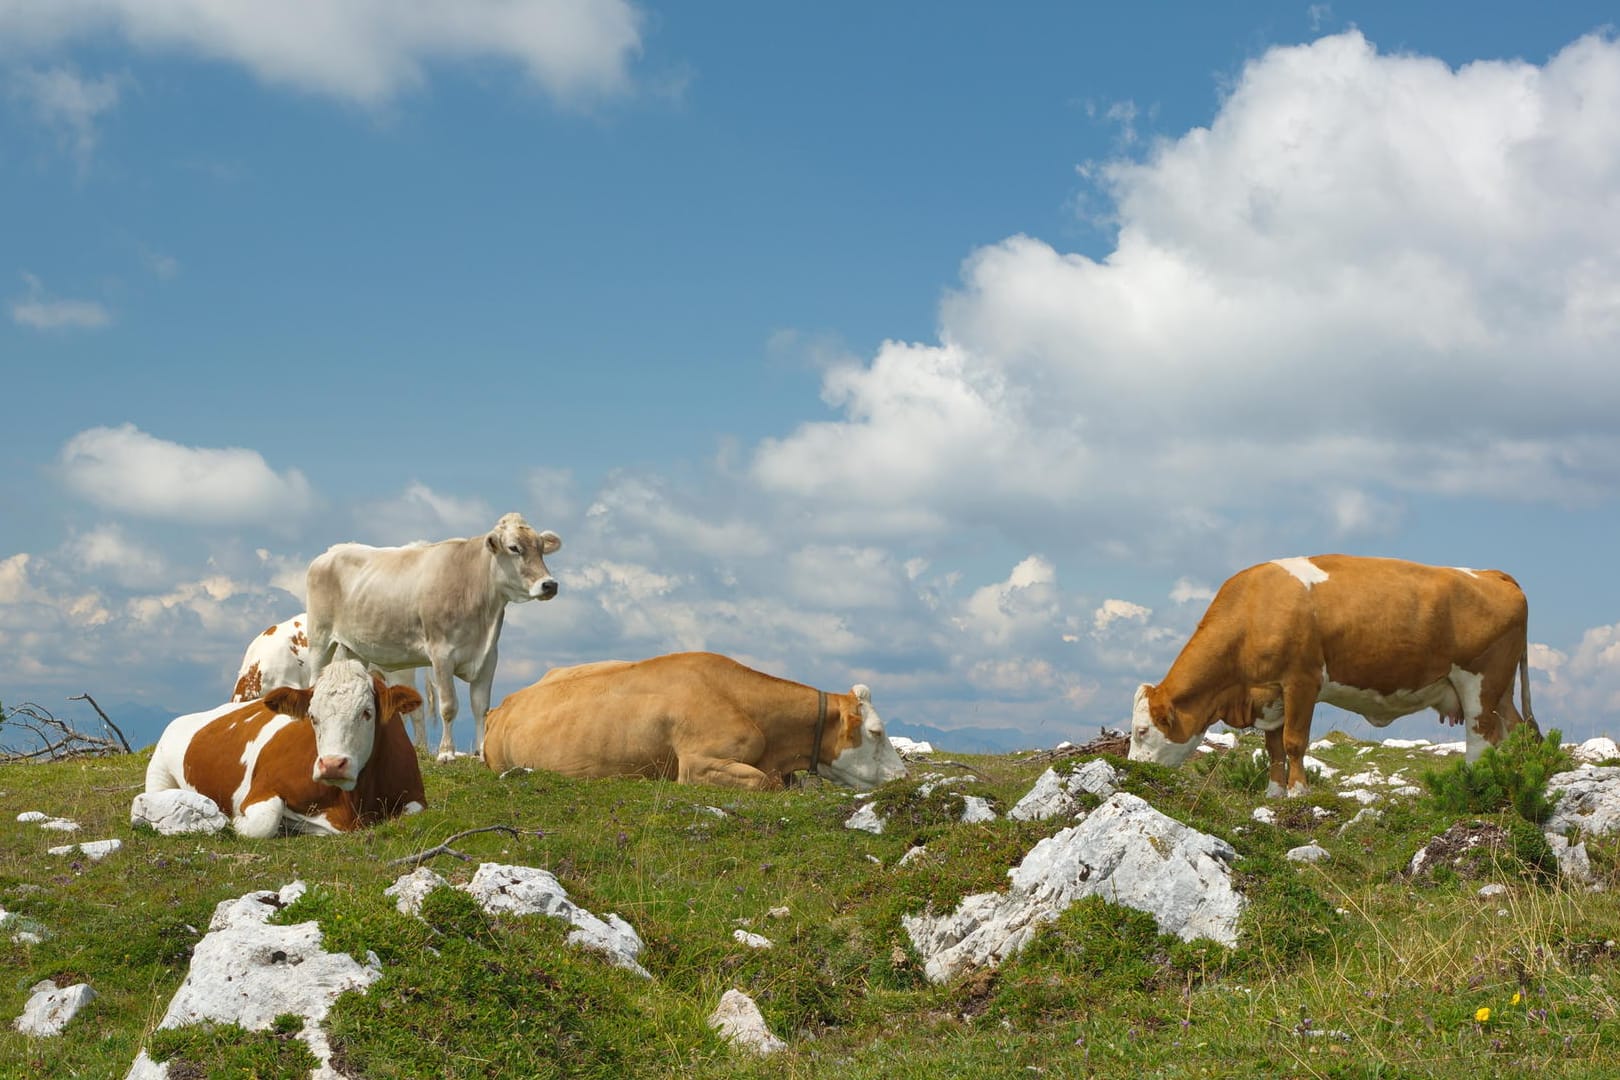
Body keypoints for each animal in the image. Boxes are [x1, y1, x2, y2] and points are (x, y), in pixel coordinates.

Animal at [146, 660, 427, 835]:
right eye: (313, 716)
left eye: (367, 712)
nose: (332, 765)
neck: (351, 804)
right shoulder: (260, 790)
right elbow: (265, 821)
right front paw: (230, 819)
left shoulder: (415, 797)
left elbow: (412, 813)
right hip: (158, 771)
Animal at [304, 514, 563, 761]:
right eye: (514, 548)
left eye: (541, 548)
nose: (549, 585)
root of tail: (332, 552)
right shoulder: (442, 654)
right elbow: (448, 706)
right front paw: (446, 753)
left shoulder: (489, 657)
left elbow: (481, 707)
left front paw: (482, 752)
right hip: (320, 640)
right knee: (313, 684)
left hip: (356, 648)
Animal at [1134, 557, 1535, 793]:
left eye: (1141, 731)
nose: (1132, 771)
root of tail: (1493, 573)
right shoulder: (1270, 695)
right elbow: (1274, 748)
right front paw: (1274, 793)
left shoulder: (1302, 681)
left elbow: (1294, 742)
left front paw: (1298, 792)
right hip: (1501, 692)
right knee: (1518, 732)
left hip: (1479, 683)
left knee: (1481, 738)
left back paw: (1474, 783)